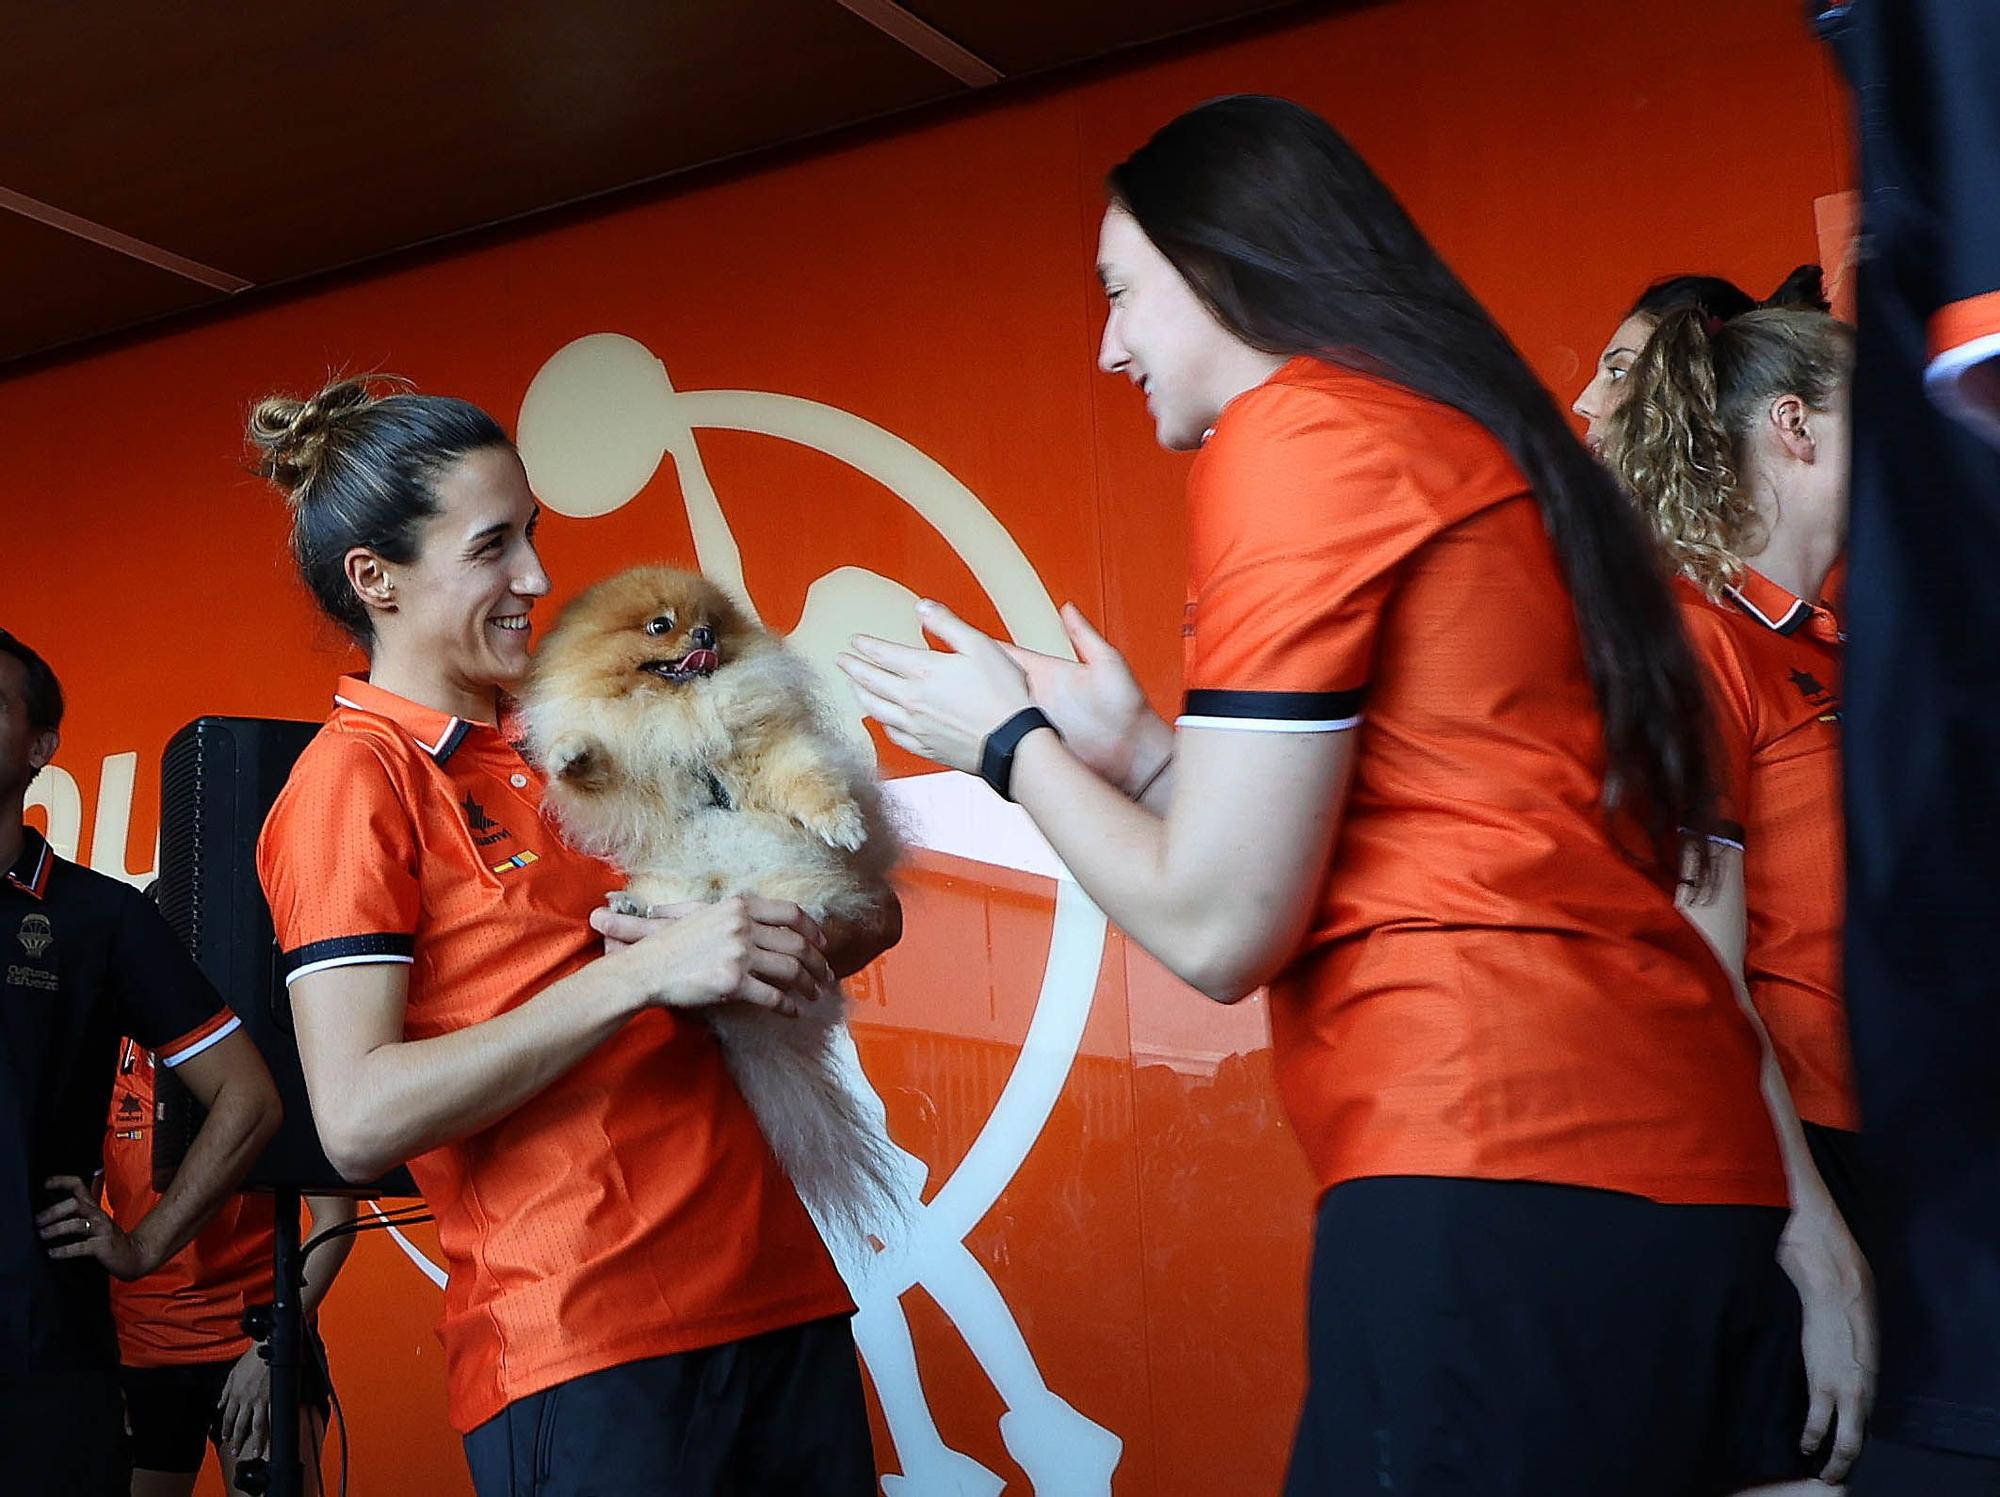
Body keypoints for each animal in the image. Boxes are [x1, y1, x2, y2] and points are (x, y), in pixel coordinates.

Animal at [524, 568, 916, 1248]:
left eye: (711, 624)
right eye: (661, 626)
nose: (704, 637)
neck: (683, 715)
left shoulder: (769, 746)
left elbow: (807, 781)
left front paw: (842, 823)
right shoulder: (634, 782)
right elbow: (597, 765)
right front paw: (573, 754)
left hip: (789, 882)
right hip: (672, 887)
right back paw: (638, 911)